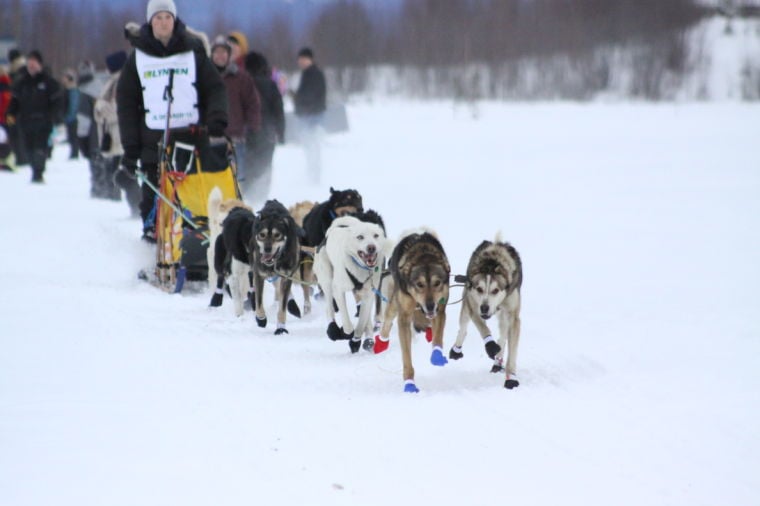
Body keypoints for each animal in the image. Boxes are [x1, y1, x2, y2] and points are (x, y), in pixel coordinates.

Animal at [314, 215, 392, 354]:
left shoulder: (369, 294)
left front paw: (356, 340)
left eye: (376, 235)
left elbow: (361, 322)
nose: (371, 247)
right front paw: (345, 334)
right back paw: (333, 330)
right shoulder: (338, 290)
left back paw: (368, 339)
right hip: (327, 280)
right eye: (360, 237)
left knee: (365, 315)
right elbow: (347, 324)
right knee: (329, 307)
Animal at [452, 235, 524, 390]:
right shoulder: (474, 306)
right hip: (466, 306)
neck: (493, 264)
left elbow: (512, 351)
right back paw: (456, 350)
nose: (484, 308)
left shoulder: (513, 317)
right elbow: (483, 328)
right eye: (479, 289)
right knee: (463, 328)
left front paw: (511, 378)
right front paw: (490, 346)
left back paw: (498, 362)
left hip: (504, 317)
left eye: (496, 290)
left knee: (503, 335)